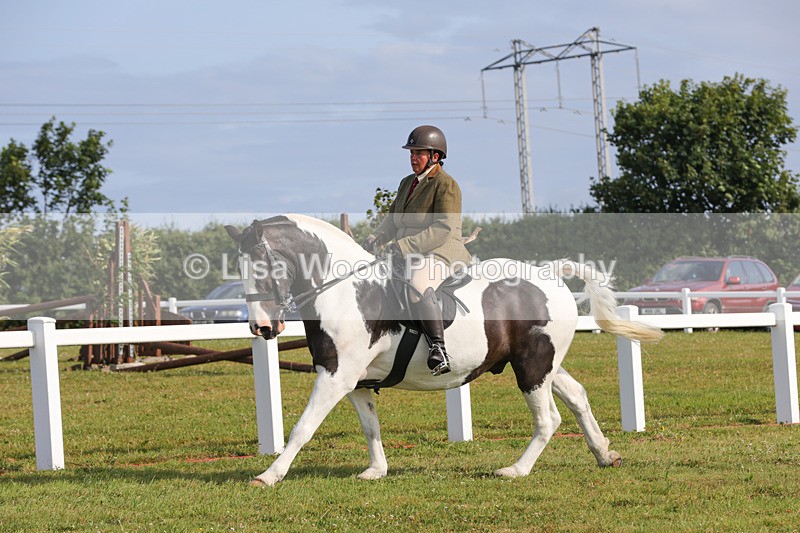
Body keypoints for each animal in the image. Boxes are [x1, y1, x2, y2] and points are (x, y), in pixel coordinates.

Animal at [225, 214, 662, 487]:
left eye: (262, 266)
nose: (262, 328)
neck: (346, 290)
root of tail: (548, 274)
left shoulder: (336, 376)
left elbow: (303, 427)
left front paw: (268, 476)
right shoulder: (355, 381)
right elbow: (370, 427)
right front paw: (376, 470)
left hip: (532, 367)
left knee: (549, 418)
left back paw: (515, 470)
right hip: (545, 364)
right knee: (577, 397)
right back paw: (604, 454)